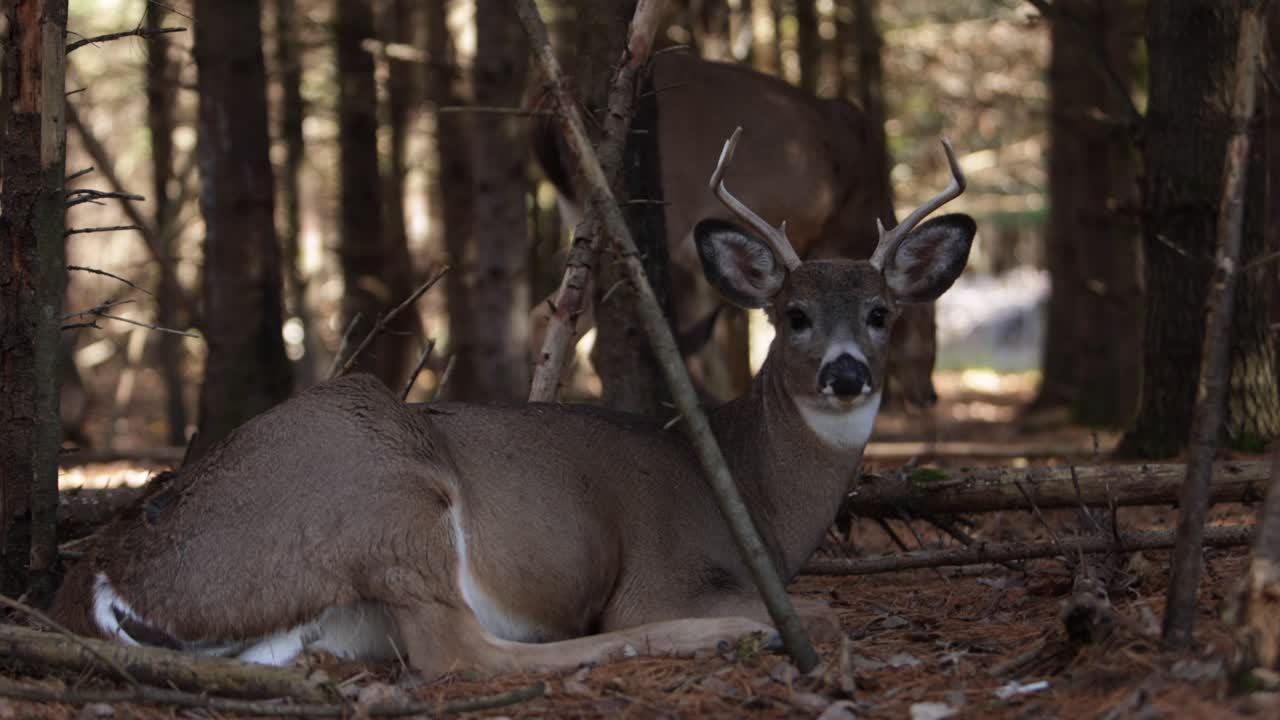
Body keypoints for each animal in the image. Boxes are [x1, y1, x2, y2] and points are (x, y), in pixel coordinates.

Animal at [50, 129, 974, 681]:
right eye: (793, 315)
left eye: (882, 313)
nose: (846, 374)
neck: (756, 491)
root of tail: (101, 571)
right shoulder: (664, 574)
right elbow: (810, 605)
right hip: (384, 491)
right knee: (459, 656)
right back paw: (708, 637)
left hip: (318, 616)